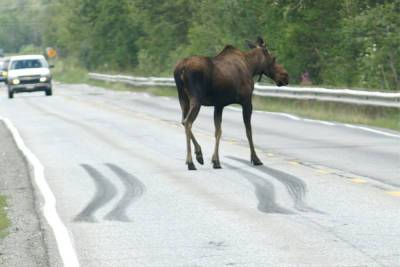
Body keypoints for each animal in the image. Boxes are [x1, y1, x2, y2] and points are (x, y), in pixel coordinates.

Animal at [173, 36, 290, 171]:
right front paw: (256, 159)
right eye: (274, 58)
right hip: (196, 99)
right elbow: (248, 131)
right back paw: (191, 162)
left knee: (183, 121)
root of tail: (180, 69)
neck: (251, 67)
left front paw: (216, 161)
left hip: (183, 99)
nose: (285, 76)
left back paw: (198, 154)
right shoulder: (246, 101)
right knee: (188, 122)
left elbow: (218, 131)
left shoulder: (219, 105)